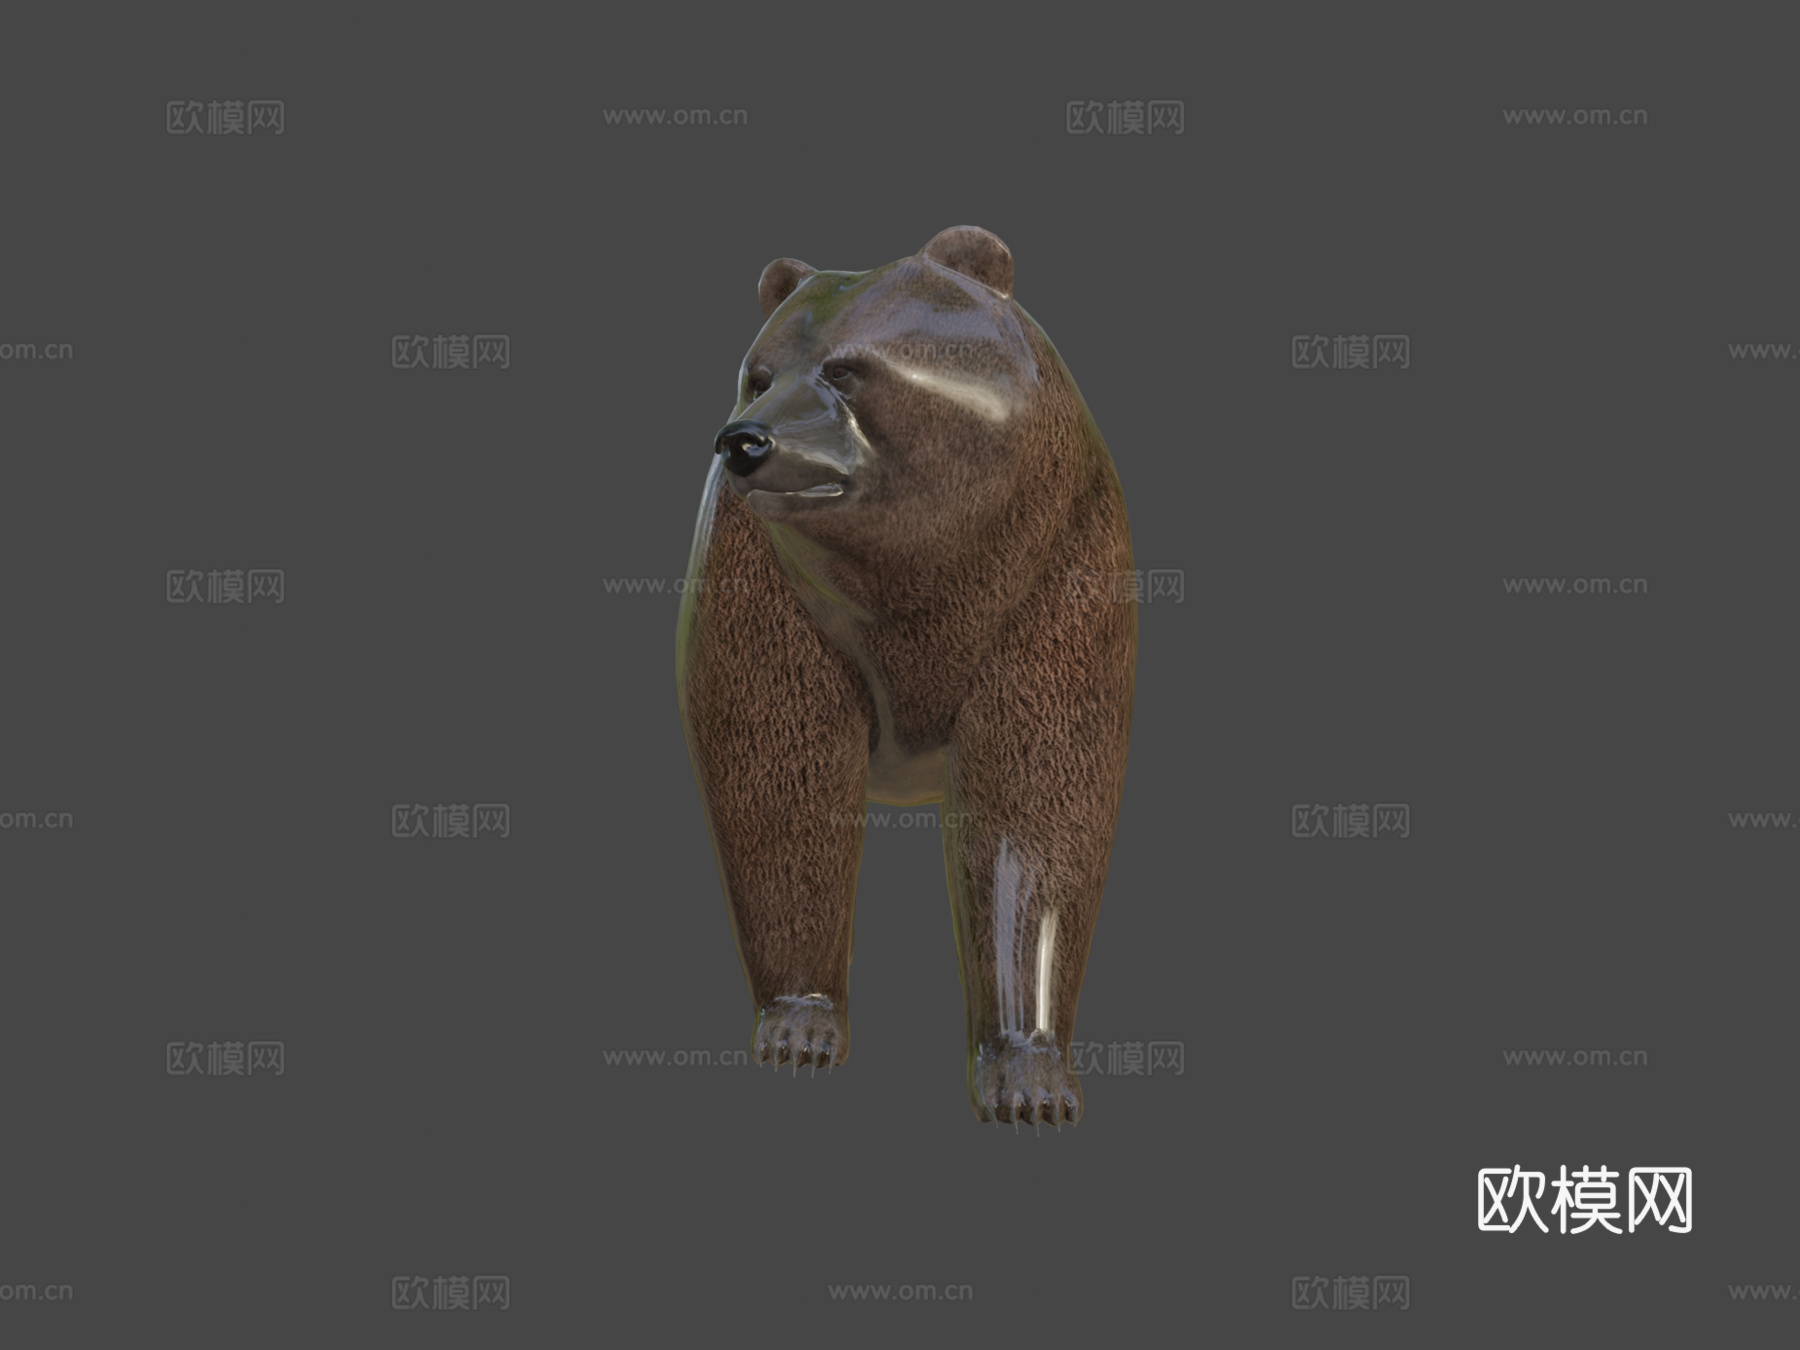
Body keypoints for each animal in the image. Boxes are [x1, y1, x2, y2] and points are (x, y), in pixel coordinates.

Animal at [676, 226, 1135, 1126]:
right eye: (759, 372)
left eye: (845, 369)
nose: (744, 440)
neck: (917, 575)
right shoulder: (764, 585)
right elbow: (779, 785)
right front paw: (800, 1026)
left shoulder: (1058, 575)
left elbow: (1039, 812)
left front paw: (1029, 1075)